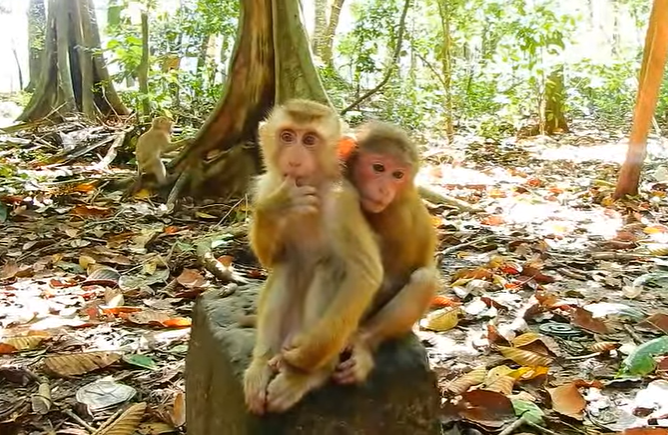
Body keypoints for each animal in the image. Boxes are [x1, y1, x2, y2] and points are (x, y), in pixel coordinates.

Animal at [244, 99, 383, 415]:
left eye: (309, 140)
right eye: (287, 137)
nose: (294, 161)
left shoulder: (342, 202)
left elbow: (364, 274)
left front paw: (304, 359)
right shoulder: (267, 186)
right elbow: (273, 259)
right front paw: (276, 207)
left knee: (328, 268)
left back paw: (303, 373)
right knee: (287, 266)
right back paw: (261, 364)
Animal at [331, 121, 439, 385]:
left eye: (397, 175)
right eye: (378, 168)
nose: (384, 189)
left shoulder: (397, 216)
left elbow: (383, 275)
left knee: (423, 278)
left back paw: (362, 341)